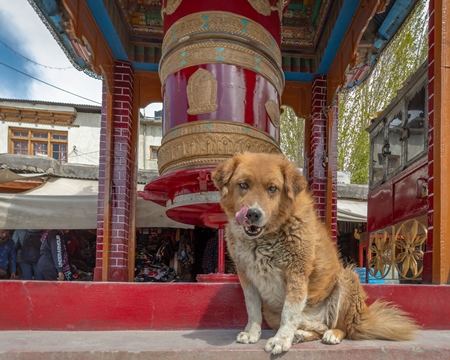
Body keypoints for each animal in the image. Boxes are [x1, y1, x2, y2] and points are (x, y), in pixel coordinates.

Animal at [211, 152, 418, 354]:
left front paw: (281, 339)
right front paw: (252, 333)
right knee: (317, 329)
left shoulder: (297, 272)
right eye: (243, 185)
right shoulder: (246, 275)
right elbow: (252, 307)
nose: (253, 214)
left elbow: (289, 312)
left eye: (272, 188)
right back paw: (300, 335)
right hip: (272, 311)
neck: (264, 238)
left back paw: (332, 334)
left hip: (347, 278)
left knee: (343, 328)